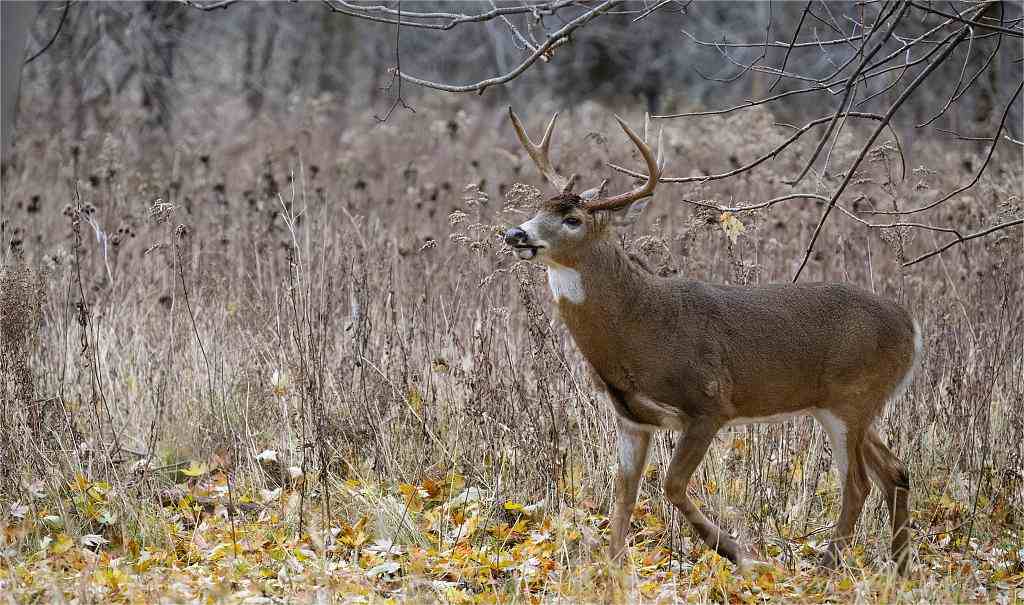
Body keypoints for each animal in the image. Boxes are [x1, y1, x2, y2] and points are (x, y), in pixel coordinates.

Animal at [503, 106, 921, 573]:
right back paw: (899, 569)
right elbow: (622, 499)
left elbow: (671, 485)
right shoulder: (631, 418)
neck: (637, 330)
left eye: (573, 220)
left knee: (859, 484)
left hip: (850, 399)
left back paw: (828, 567)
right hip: (851, 404)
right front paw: (614, 570)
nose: (515, 234)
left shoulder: (710, 403)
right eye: (539, 207)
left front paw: (738, 552)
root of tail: (912, 328)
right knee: (895, 471)